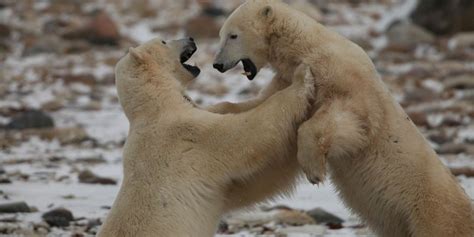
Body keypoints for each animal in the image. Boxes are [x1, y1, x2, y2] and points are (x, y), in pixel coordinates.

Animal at [96, 38, 316, 236]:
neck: (156, 106)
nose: (190, 39)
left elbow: (253, 184)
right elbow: (245, 136)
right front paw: (302, 77)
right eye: (164, 41)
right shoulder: (187, 137)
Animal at [212, 0, 474, 236]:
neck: (306, 47)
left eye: (233, 35)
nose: (217, 64)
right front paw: (218, 109)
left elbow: (349, 118)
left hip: (433, 211)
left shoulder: (342, 76)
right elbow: (262, 105)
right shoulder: (287, 78)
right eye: (221, 34)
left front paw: (314, 170)